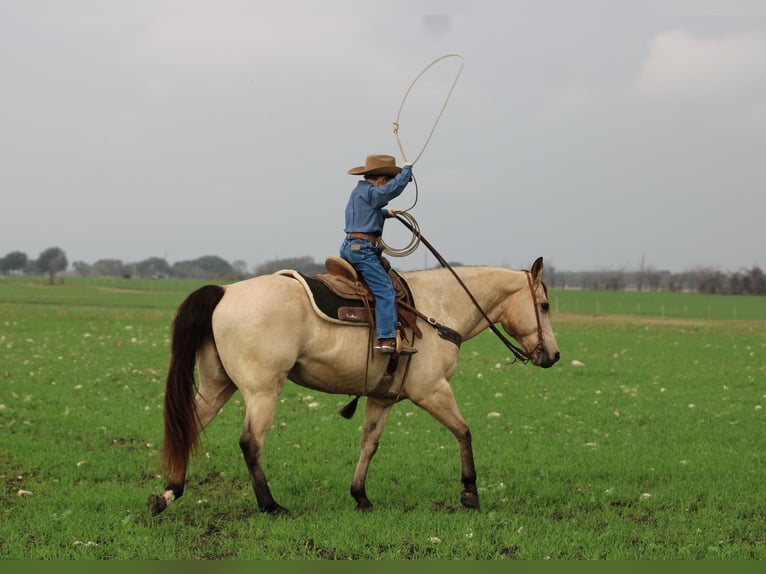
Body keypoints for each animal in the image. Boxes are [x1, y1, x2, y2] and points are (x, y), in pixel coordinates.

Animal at [147, 256, 560, 516]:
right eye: (544, 305)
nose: (554, 355)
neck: (437, 310)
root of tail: (225, 292)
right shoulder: (432, 391)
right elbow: (463, 431)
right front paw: (470, 492)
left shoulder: (382, 397)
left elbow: (369, 444)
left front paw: (360, 495)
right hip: (262, 390)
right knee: (251, 443)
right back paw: (270, 505)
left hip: (217, 386)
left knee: (190, 426)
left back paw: (168, 494)